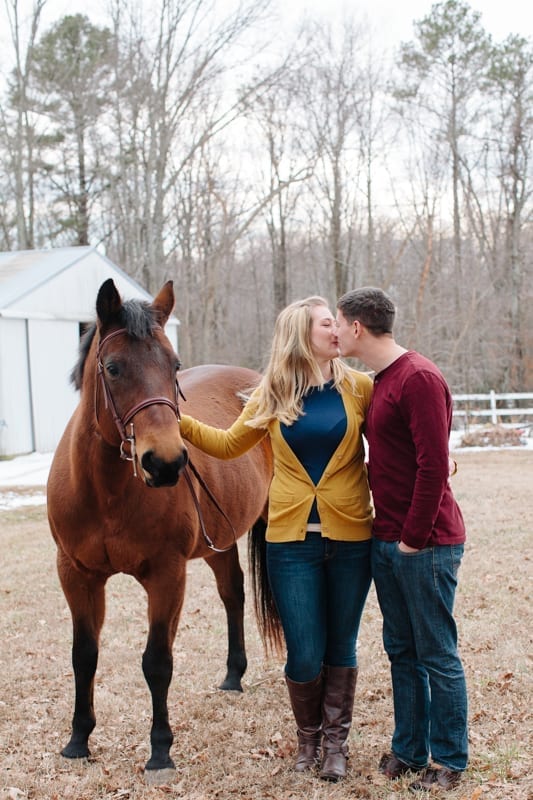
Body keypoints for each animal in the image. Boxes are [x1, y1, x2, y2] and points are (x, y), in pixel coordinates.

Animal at [46, 280, 272, 776]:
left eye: (175, 365)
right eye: (113, 368)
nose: (166, 462)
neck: (105, 493)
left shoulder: (166, 575)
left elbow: (157, 661)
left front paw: (160, 749)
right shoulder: (75, 574)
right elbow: (83, 656)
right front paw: (78, 739)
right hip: (218, 543)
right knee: (232, 594)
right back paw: (232, 675)